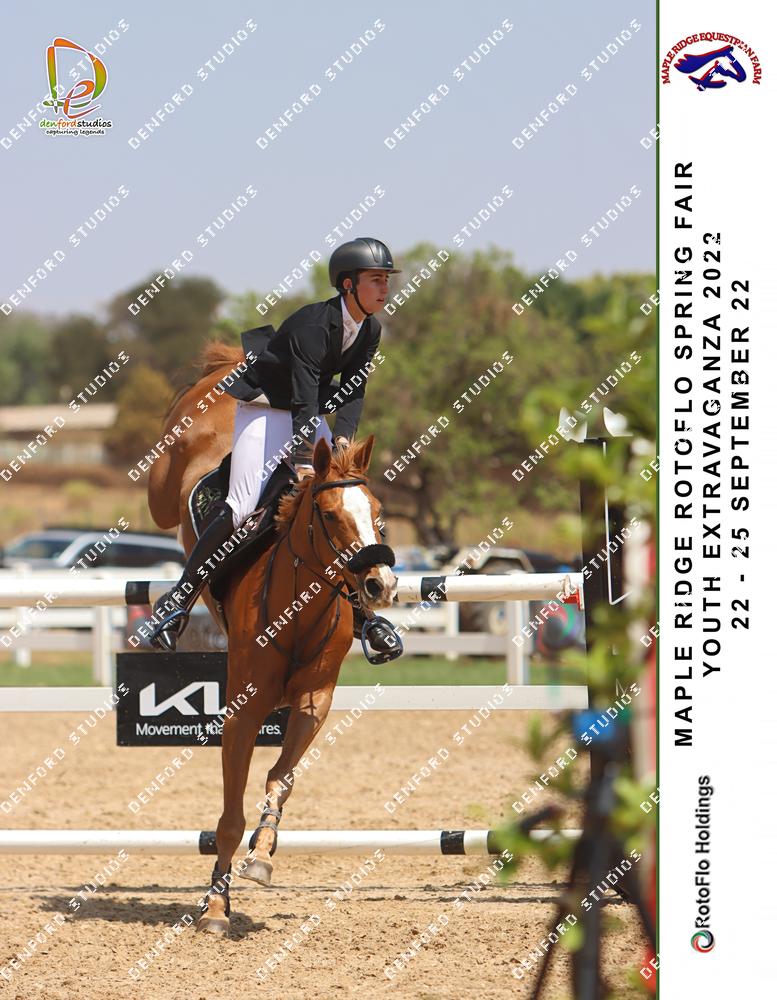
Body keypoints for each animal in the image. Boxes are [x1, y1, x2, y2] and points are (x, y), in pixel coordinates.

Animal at [147, 344, 397, 935]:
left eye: (379, 516)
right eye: (329, 515)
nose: (380, 585)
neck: (299, 612)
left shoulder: (312, 703)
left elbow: (280, 780)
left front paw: (262, 856)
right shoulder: (243, 712)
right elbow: (229, 819)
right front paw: (216, 908)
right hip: (170, 474)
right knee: (167, 497)